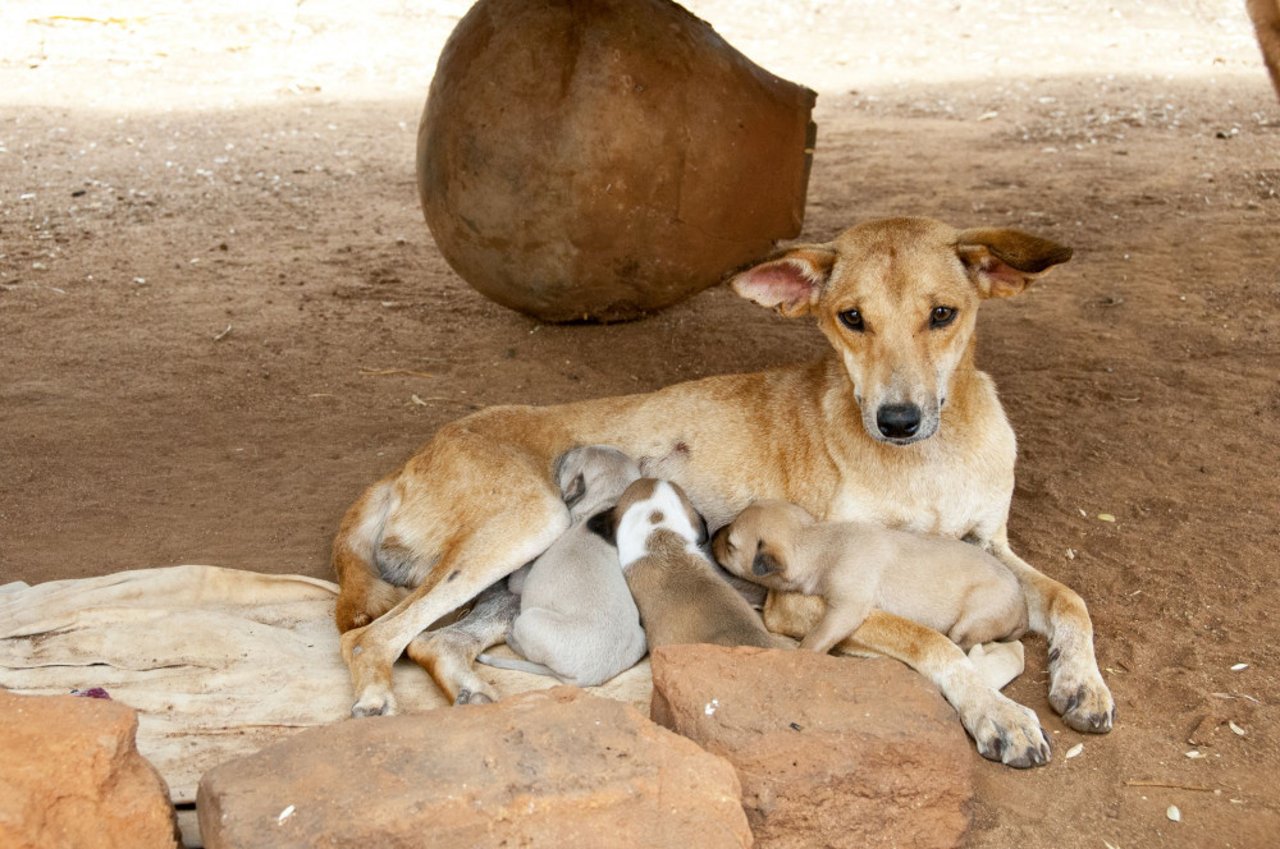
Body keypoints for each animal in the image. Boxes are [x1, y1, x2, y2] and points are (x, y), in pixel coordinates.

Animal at [478, 448, 650, 686]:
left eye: (570, 461)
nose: (566, 451)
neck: (609, 500)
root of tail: (586, 678)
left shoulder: (522, 580)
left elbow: (516, 577)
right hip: (641, 638)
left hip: (530, 620)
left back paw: (511, 636)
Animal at [716, 501, 1024, 653]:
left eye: (730, 546)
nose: (714, 532)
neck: (819, 542)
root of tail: (1023, 611)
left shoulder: (847, 608)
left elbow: (817, 637)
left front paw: (803, 650)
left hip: (972, 620)